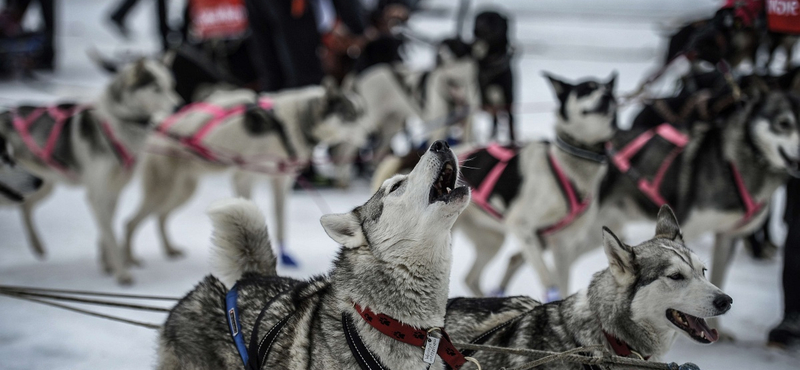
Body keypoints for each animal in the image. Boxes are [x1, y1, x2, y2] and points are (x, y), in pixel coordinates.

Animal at [0, 59, 180, 284]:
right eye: (156, 88)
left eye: (171, 85)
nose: (178, 105)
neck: (117, 125)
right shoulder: (97, 195)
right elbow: (110, 235)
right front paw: (122, 273)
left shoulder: (112, 193)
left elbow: (106, 231)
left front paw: (106, 264)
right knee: (24, 206)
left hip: (41, 184)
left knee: (26, 207)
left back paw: (37, 245)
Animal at [122, 84, 368, 266]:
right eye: (350, 115)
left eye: (362, 113)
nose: (369, 134)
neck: (291, 124)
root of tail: (159, 126)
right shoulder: (243, 178)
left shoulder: (280, 182)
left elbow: (280, 222)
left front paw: (285, 256)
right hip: (162, 191)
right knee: (131, 222)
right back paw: (128, 261)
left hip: (182, 192)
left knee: (160, 217)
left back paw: (168, 249)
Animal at [454, 73, 616, 298]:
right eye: (586, 89)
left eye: (609, 91)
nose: (607, 97)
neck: (568, 167)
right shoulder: (521, 227)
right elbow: (549, 280)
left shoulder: (562, 244)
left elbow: (562, 285)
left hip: (492, 241)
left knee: (470, 278)